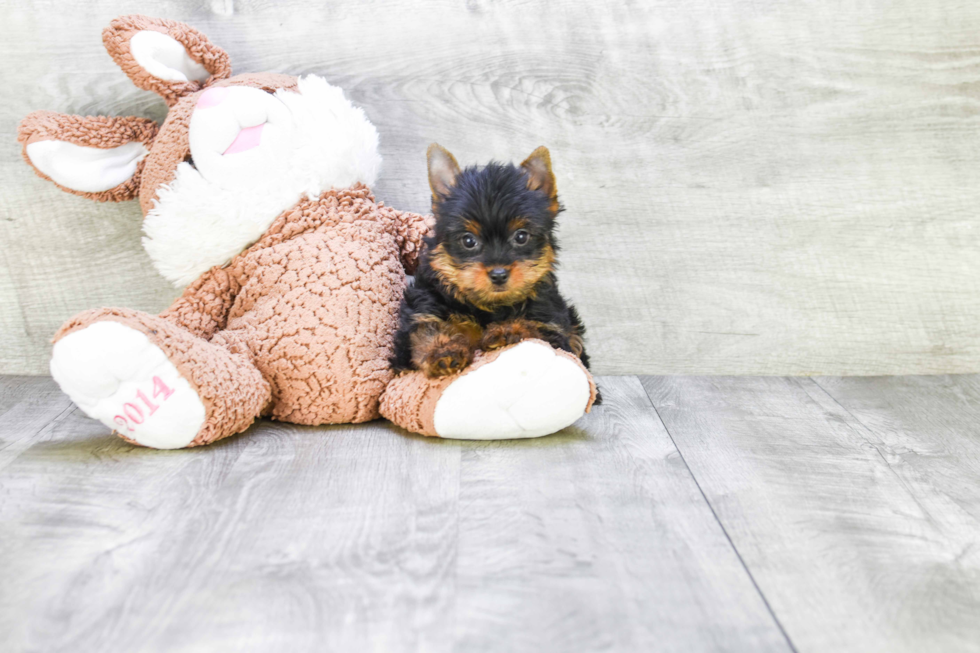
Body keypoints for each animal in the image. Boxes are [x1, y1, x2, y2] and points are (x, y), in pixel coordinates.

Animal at [392, 143, 596, 398]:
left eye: (521, 237)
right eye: (468, 241)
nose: (499, 274)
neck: (488, 306)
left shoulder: (552, 325)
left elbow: (533, 326)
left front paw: (506, 330)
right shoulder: (424, 309)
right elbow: (426, 331)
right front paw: (443, 352)